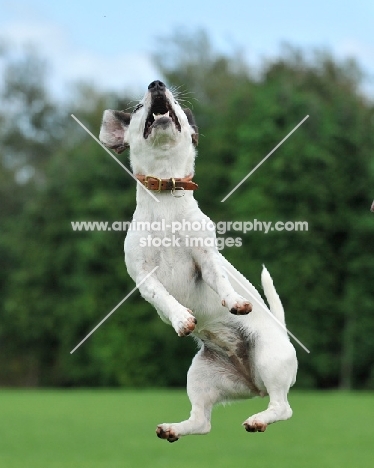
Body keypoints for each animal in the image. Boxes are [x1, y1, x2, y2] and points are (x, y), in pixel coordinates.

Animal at [99, 80, 298, 442]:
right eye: (138, 108)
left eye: (176, 103)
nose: (157, 84)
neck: (165, 196)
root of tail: (254, 385)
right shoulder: (143, 276)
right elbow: (163, 297)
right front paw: (181, 318)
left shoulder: (204, 259)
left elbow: (219, 279)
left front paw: (234, 301)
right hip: (201, 376)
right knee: (202, 422)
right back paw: (173, 429)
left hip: (269, 357)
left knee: (282, 407)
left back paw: (258, 419)